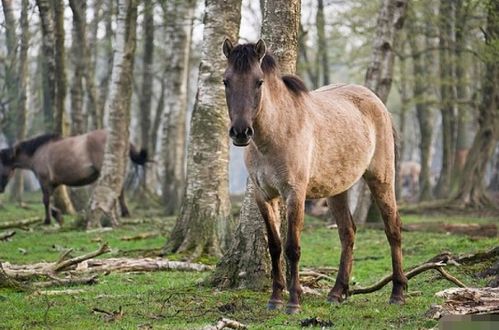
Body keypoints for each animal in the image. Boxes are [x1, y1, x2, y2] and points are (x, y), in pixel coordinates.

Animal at [0, 129, 148, 224]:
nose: (1, 189)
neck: (39, 152)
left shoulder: (45, 181)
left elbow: (46, 200)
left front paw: (47, 221)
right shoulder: (54, 183)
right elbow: (52, 201)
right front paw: (57, 216)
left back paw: (123, 212)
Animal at [225, 39, 408, 314]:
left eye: (259, 82)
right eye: (226, 81)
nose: (240, 132)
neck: (276, 133)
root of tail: (376, 102)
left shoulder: (295, 194)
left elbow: (292, 248)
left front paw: (293, 303)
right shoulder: (263, 196)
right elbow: (274, 246)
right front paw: (275, 299)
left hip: (381, 179)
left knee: (392, 228)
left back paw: (397, 292)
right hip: (337, 189)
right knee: (348, 232)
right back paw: (337, 292)